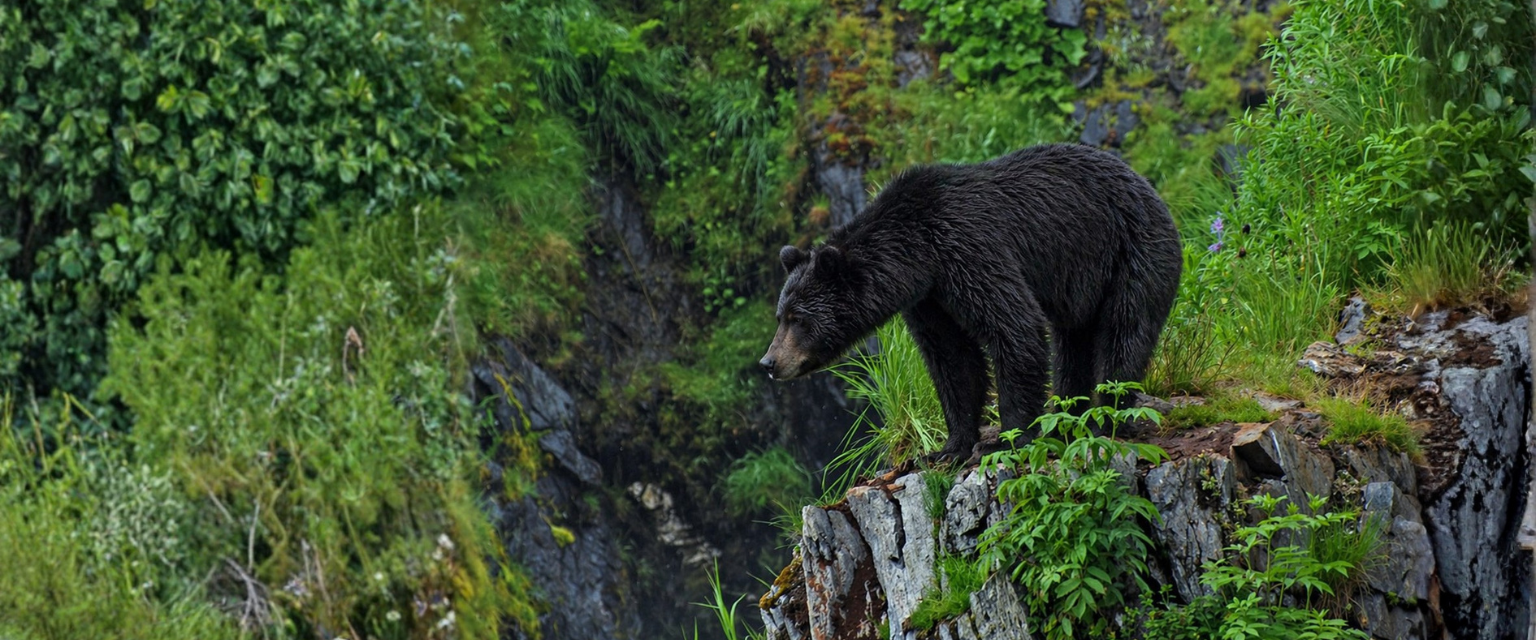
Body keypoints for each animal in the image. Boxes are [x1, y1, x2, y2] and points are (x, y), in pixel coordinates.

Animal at [759, 143, 1182, 460]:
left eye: (798, 319)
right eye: (780, 316)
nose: (769, 362)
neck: (919, 252)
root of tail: (1150, 188)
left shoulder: (969, 247)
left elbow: (1013, 326)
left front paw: (1007, 439)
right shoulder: (930, 298)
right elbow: (953, 358)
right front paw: (948, 447)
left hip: (1133, 253)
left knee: (1124, 331)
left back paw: (1105, 415)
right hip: (1080, 285)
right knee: (1072, 345)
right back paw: (1066, 415)